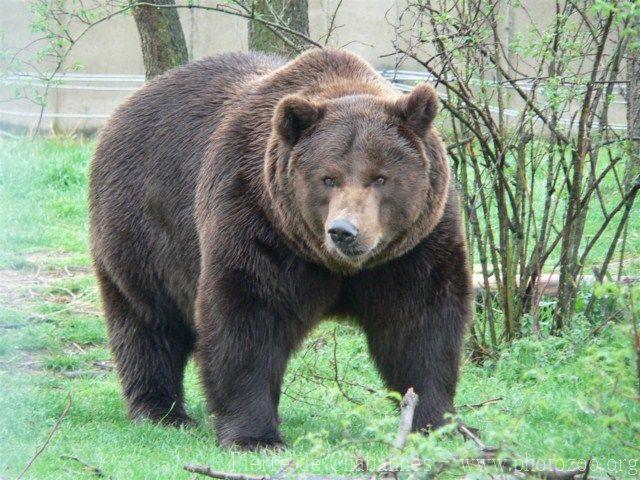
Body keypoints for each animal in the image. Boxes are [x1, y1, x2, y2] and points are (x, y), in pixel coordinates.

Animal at [89, 48, 470, 450]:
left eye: (380, 177)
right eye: (328, 177)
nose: (344, 231)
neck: (336, 265)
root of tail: (129, 104)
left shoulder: (414, 249)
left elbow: (421, 325)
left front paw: (437, 423)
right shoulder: (258, 223)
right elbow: (247, 320)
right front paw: (254, 436)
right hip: (142, 229)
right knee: (148, 320)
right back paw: (160, 410)